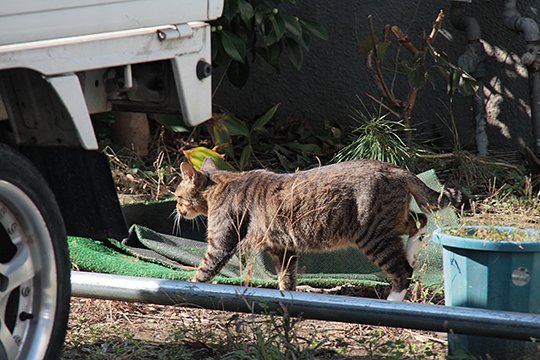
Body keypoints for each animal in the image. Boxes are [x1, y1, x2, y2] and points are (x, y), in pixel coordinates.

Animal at [174, 158, 464, 300]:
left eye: (177, 196)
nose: (177, 209)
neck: (221, 185)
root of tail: (396, 169)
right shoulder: (283, 247)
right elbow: (286, 278)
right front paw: (288, 296)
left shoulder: (221, 242)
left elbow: (204, 270)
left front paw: (189, 288)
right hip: (391, 221)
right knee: (419, 221)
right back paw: (412, 250)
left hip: (373, 234)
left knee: (403, 272)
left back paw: (392, 300)